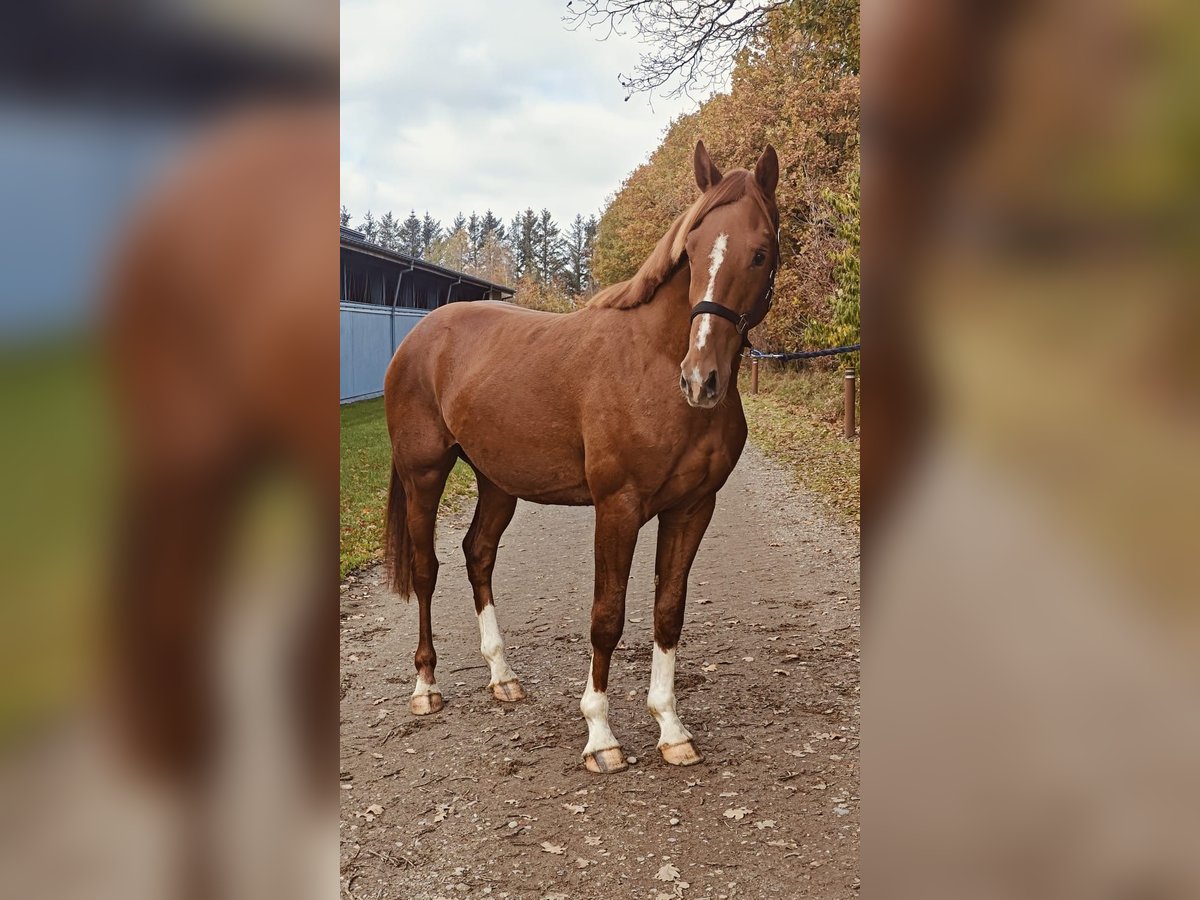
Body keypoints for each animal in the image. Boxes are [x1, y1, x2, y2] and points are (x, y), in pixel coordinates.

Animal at [384, 142, 777, 777]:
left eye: (760, 252)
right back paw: (426, 687)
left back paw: (502, 676)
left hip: (497, 481)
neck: (654, 364)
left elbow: (668, 612)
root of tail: (420, 337)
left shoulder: (693, 508)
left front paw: (671, 729)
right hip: (423, 475)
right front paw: (600, 737)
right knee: (427, 571)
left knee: (478, 555)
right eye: (692, 251)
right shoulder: (617, 509)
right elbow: (607, 616)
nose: (701, 380)